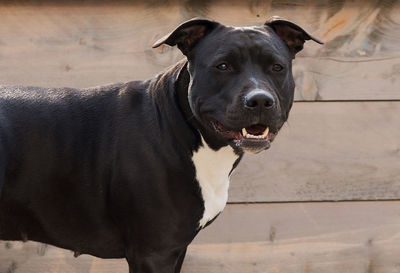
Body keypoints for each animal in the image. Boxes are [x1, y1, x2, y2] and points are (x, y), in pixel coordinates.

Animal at [0, 17, 320, 272]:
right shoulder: (155, 252)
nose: (260, 100)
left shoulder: (175, 249)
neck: (186, 130)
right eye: (223, 66)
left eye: (277, 67)